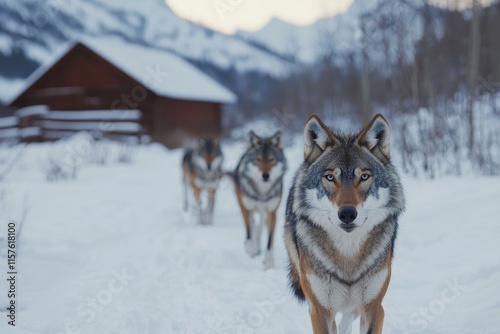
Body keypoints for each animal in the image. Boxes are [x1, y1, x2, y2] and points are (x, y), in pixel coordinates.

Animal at [233, 130, 288, 268]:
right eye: (258, 159)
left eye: (271, 159)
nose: (265, 175)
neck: (262, 193)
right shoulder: (246, 208)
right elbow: (248, 232)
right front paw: (251, 249)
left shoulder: (272, 212)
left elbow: (269, 241)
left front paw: (268, 263)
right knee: (253, 223)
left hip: (265, 212)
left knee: (260, 225)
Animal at [284, 115, 404, 334]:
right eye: (330, 177)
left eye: (364, 176)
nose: (347, 214)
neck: (348, 255)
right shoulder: (320, 311)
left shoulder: (374, 307)